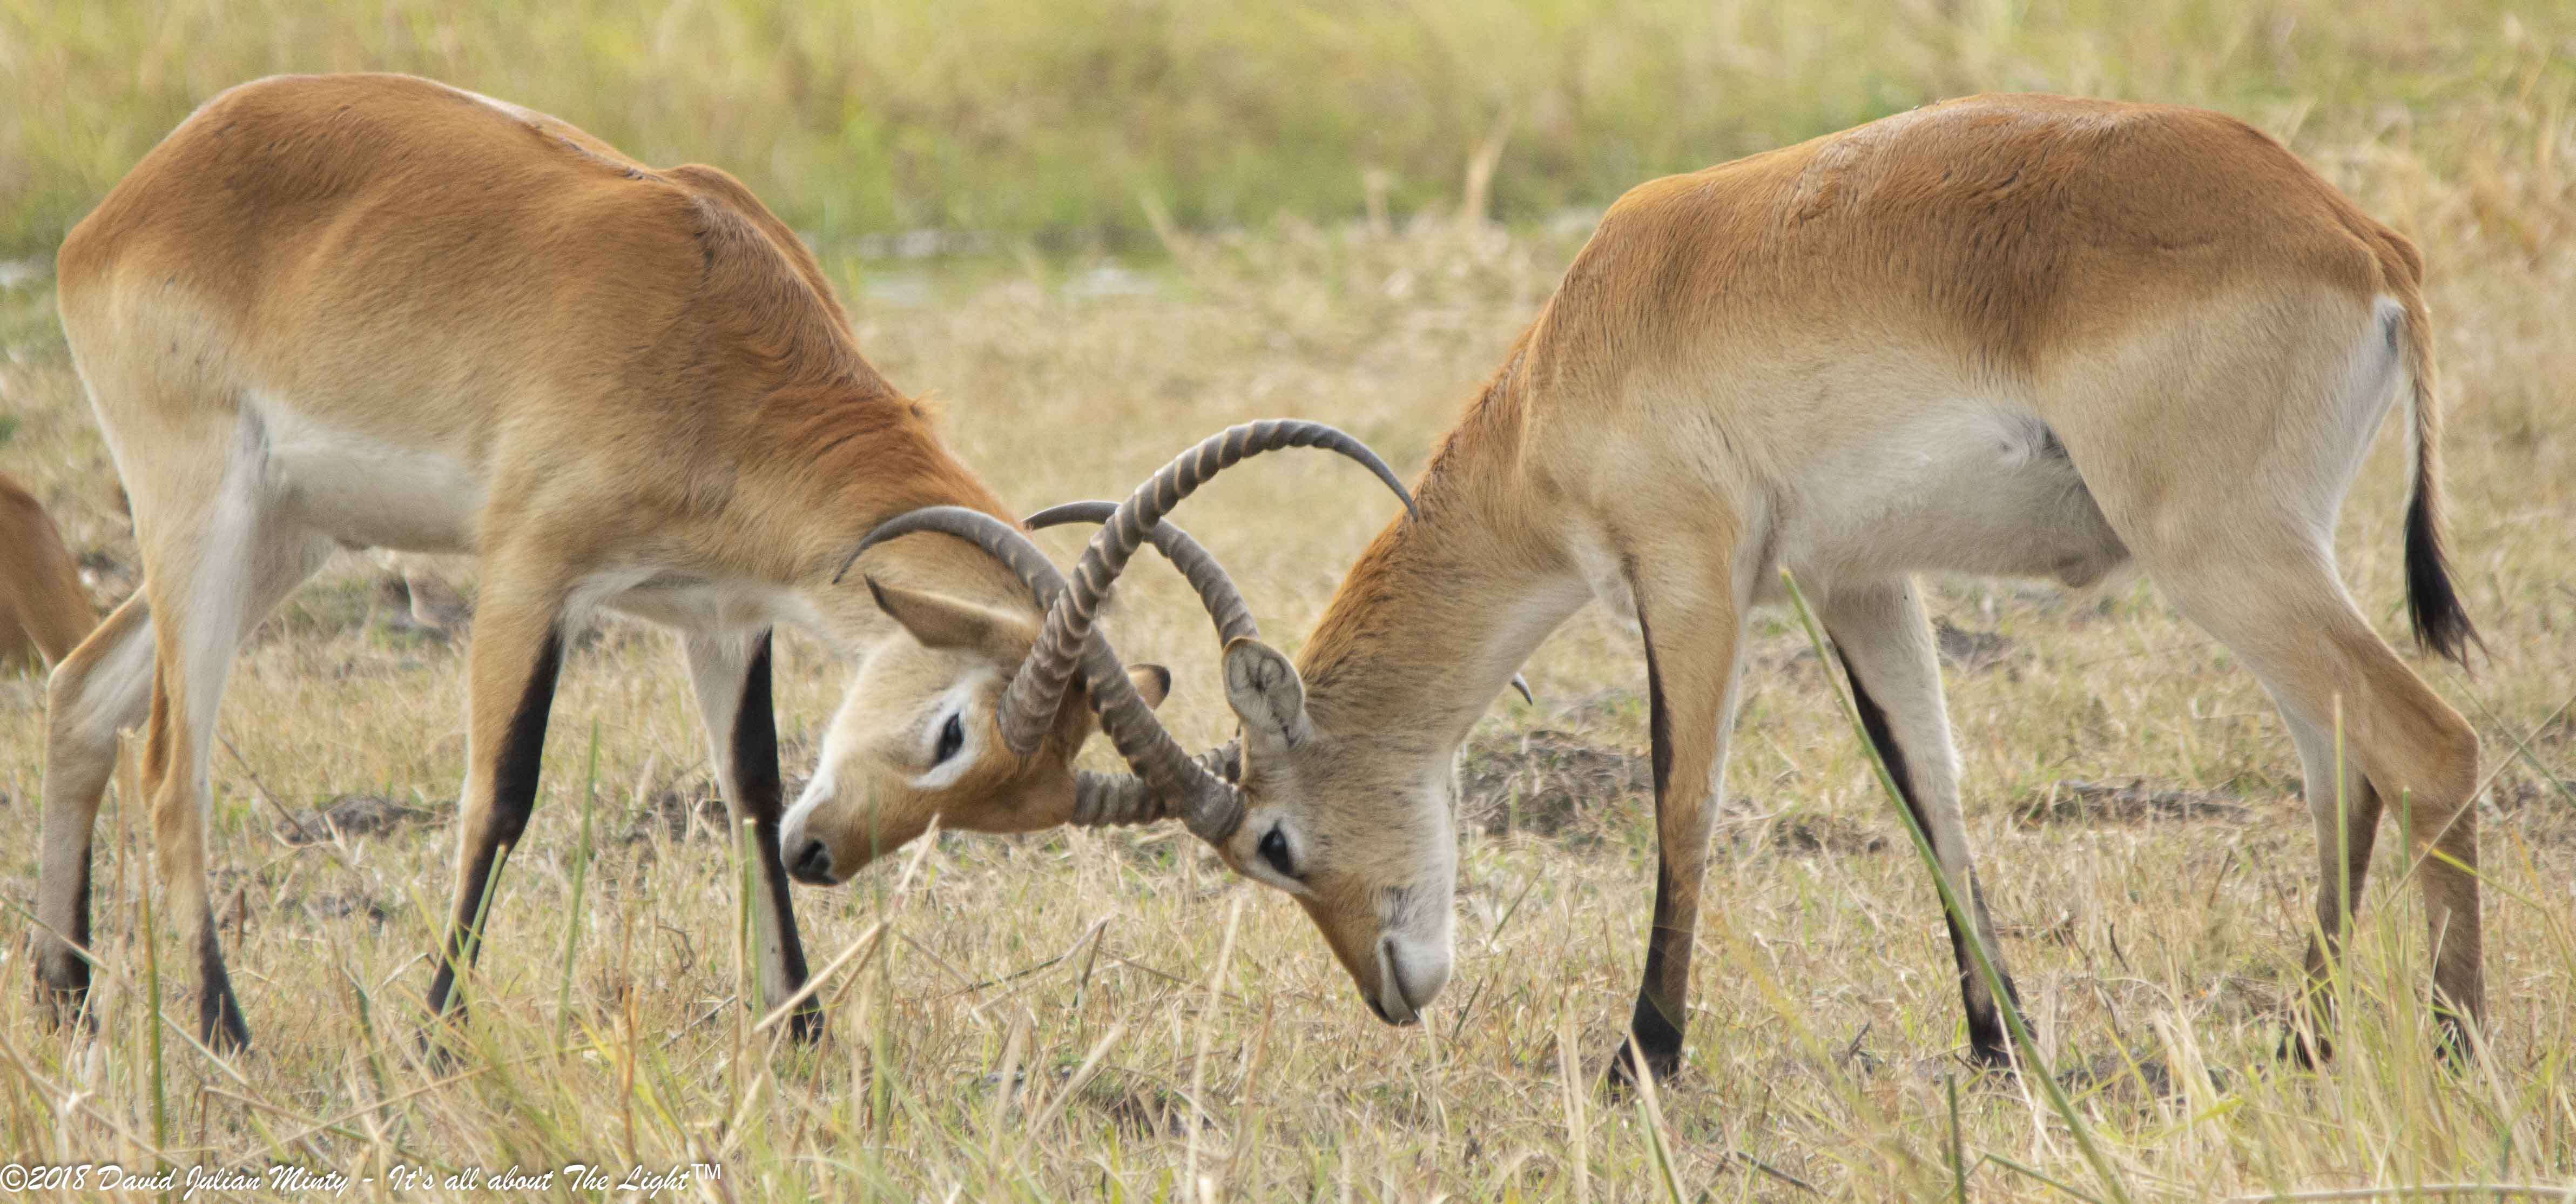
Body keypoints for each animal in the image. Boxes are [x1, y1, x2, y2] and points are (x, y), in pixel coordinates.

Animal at [35, 77, 1411, 1057]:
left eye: (1009, 809)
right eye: (953, 734)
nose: (829, 859)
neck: (707, 338)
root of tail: (131, 195)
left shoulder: (722, 614)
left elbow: (748, 786)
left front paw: (799, 1027)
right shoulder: (531, 569)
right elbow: (505, 791)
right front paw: (434, 1036)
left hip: (287, 534)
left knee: (82, 691)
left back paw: (65, 1001)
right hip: (205, 512)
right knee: (173, 763)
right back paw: (222, 1032)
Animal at [819, 96, 2473, 1082]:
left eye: (1274, 843)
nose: (1393, 989)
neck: (1582, 340)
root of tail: (2354, 233)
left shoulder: (1687, 569)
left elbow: (1682, 798)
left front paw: (1641, 1054)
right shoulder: (1858, 578)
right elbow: (1928, 788)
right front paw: (1999, 1045)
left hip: (2222, 552)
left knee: (2427, 745)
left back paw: (2453, 1048)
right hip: (2260, 561)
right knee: (2342, 760)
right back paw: (2310, 1039)